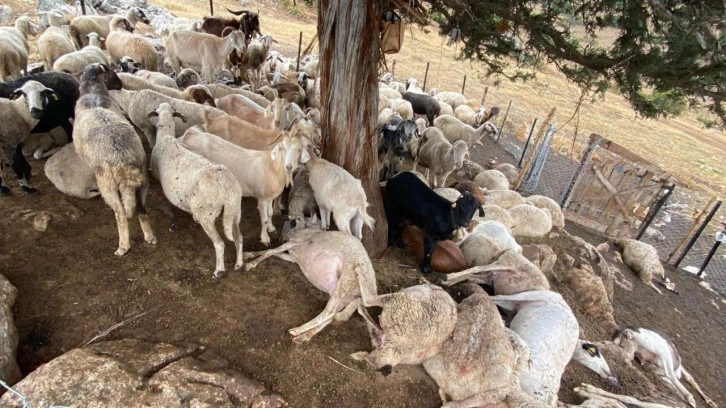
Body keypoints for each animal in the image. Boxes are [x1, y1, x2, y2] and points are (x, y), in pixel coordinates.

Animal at [73, 63, 157, 255]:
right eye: (112, 73)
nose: (120, 85)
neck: (92, 94)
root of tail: (122, 162)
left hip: (108, 185)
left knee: (121, 213)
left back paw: (123, 246)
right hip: (143, 178)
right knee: (142, 209)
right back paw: (149, 236)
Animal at [149, 103, 245, 278]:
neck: (166, 137)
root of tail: (228, 189)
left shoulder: (162, 184)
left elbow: (171, 205)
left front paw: (174, 225)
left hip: (207, 213)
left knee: (220, 244)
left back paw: (219, 271)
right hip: (235, 211)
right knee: (239, 237)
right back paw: (239, 264)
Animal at [246, 222, 382, 342]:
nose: (281, 238)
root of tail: (371, 291)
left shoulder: (295, 242)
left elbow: (271, 251)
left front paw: (250, 263)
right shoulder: (292, 257)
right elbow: (273, 253)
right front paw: (248, 254)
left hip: (347, 279)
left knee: (329, 312)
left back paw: (297, 330)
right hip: (345, 297)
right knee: (332, 316)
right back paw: (304, 337)